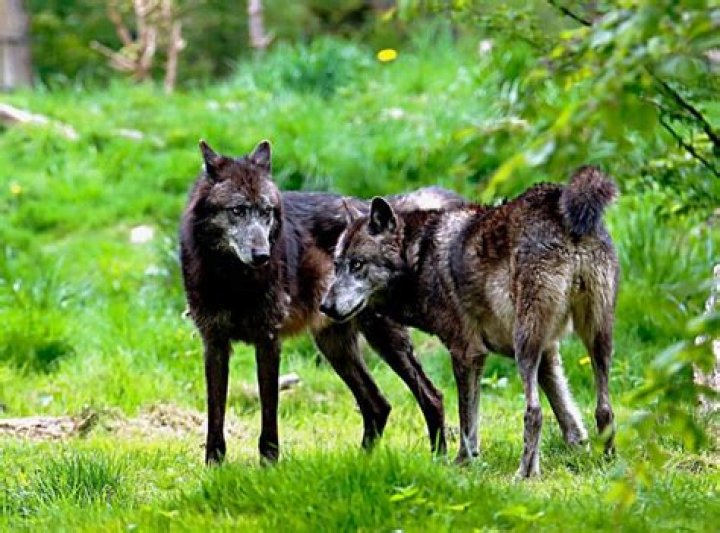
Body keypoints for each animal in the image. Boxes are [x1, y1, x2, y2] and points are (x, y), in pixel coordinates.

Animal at [180, 139, 464, 464]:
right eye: (238, 210)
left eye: (266, 212)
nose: (262, 255)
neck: (231, 280)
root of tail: (375, 212)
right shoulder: (214, 343)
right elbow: (215, 414)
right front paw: (214, 466)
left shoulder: (268, 340)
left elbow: (269, 411)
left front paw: (269, 465)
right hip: (334, 345)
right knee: (378, 405)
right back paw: (360, 464)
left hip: (382, 339)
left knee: (432, 396)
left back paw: (438, 461)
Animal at [321, 166, 619, 477]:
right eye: (336, 266)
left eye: (357, 264)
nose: (324, 307)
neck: (419, 258)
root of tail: (556, 203)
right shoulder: (547, 352)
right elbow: (568, 415)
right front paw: (578, 452)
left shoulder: (466, 352)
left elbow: (468, 421)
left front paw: (463, 462)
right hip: (598, 339)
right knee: (604, 408)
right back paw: (608, 461)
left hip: (525, 347)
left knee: (534, 412)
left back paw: (522, 474)